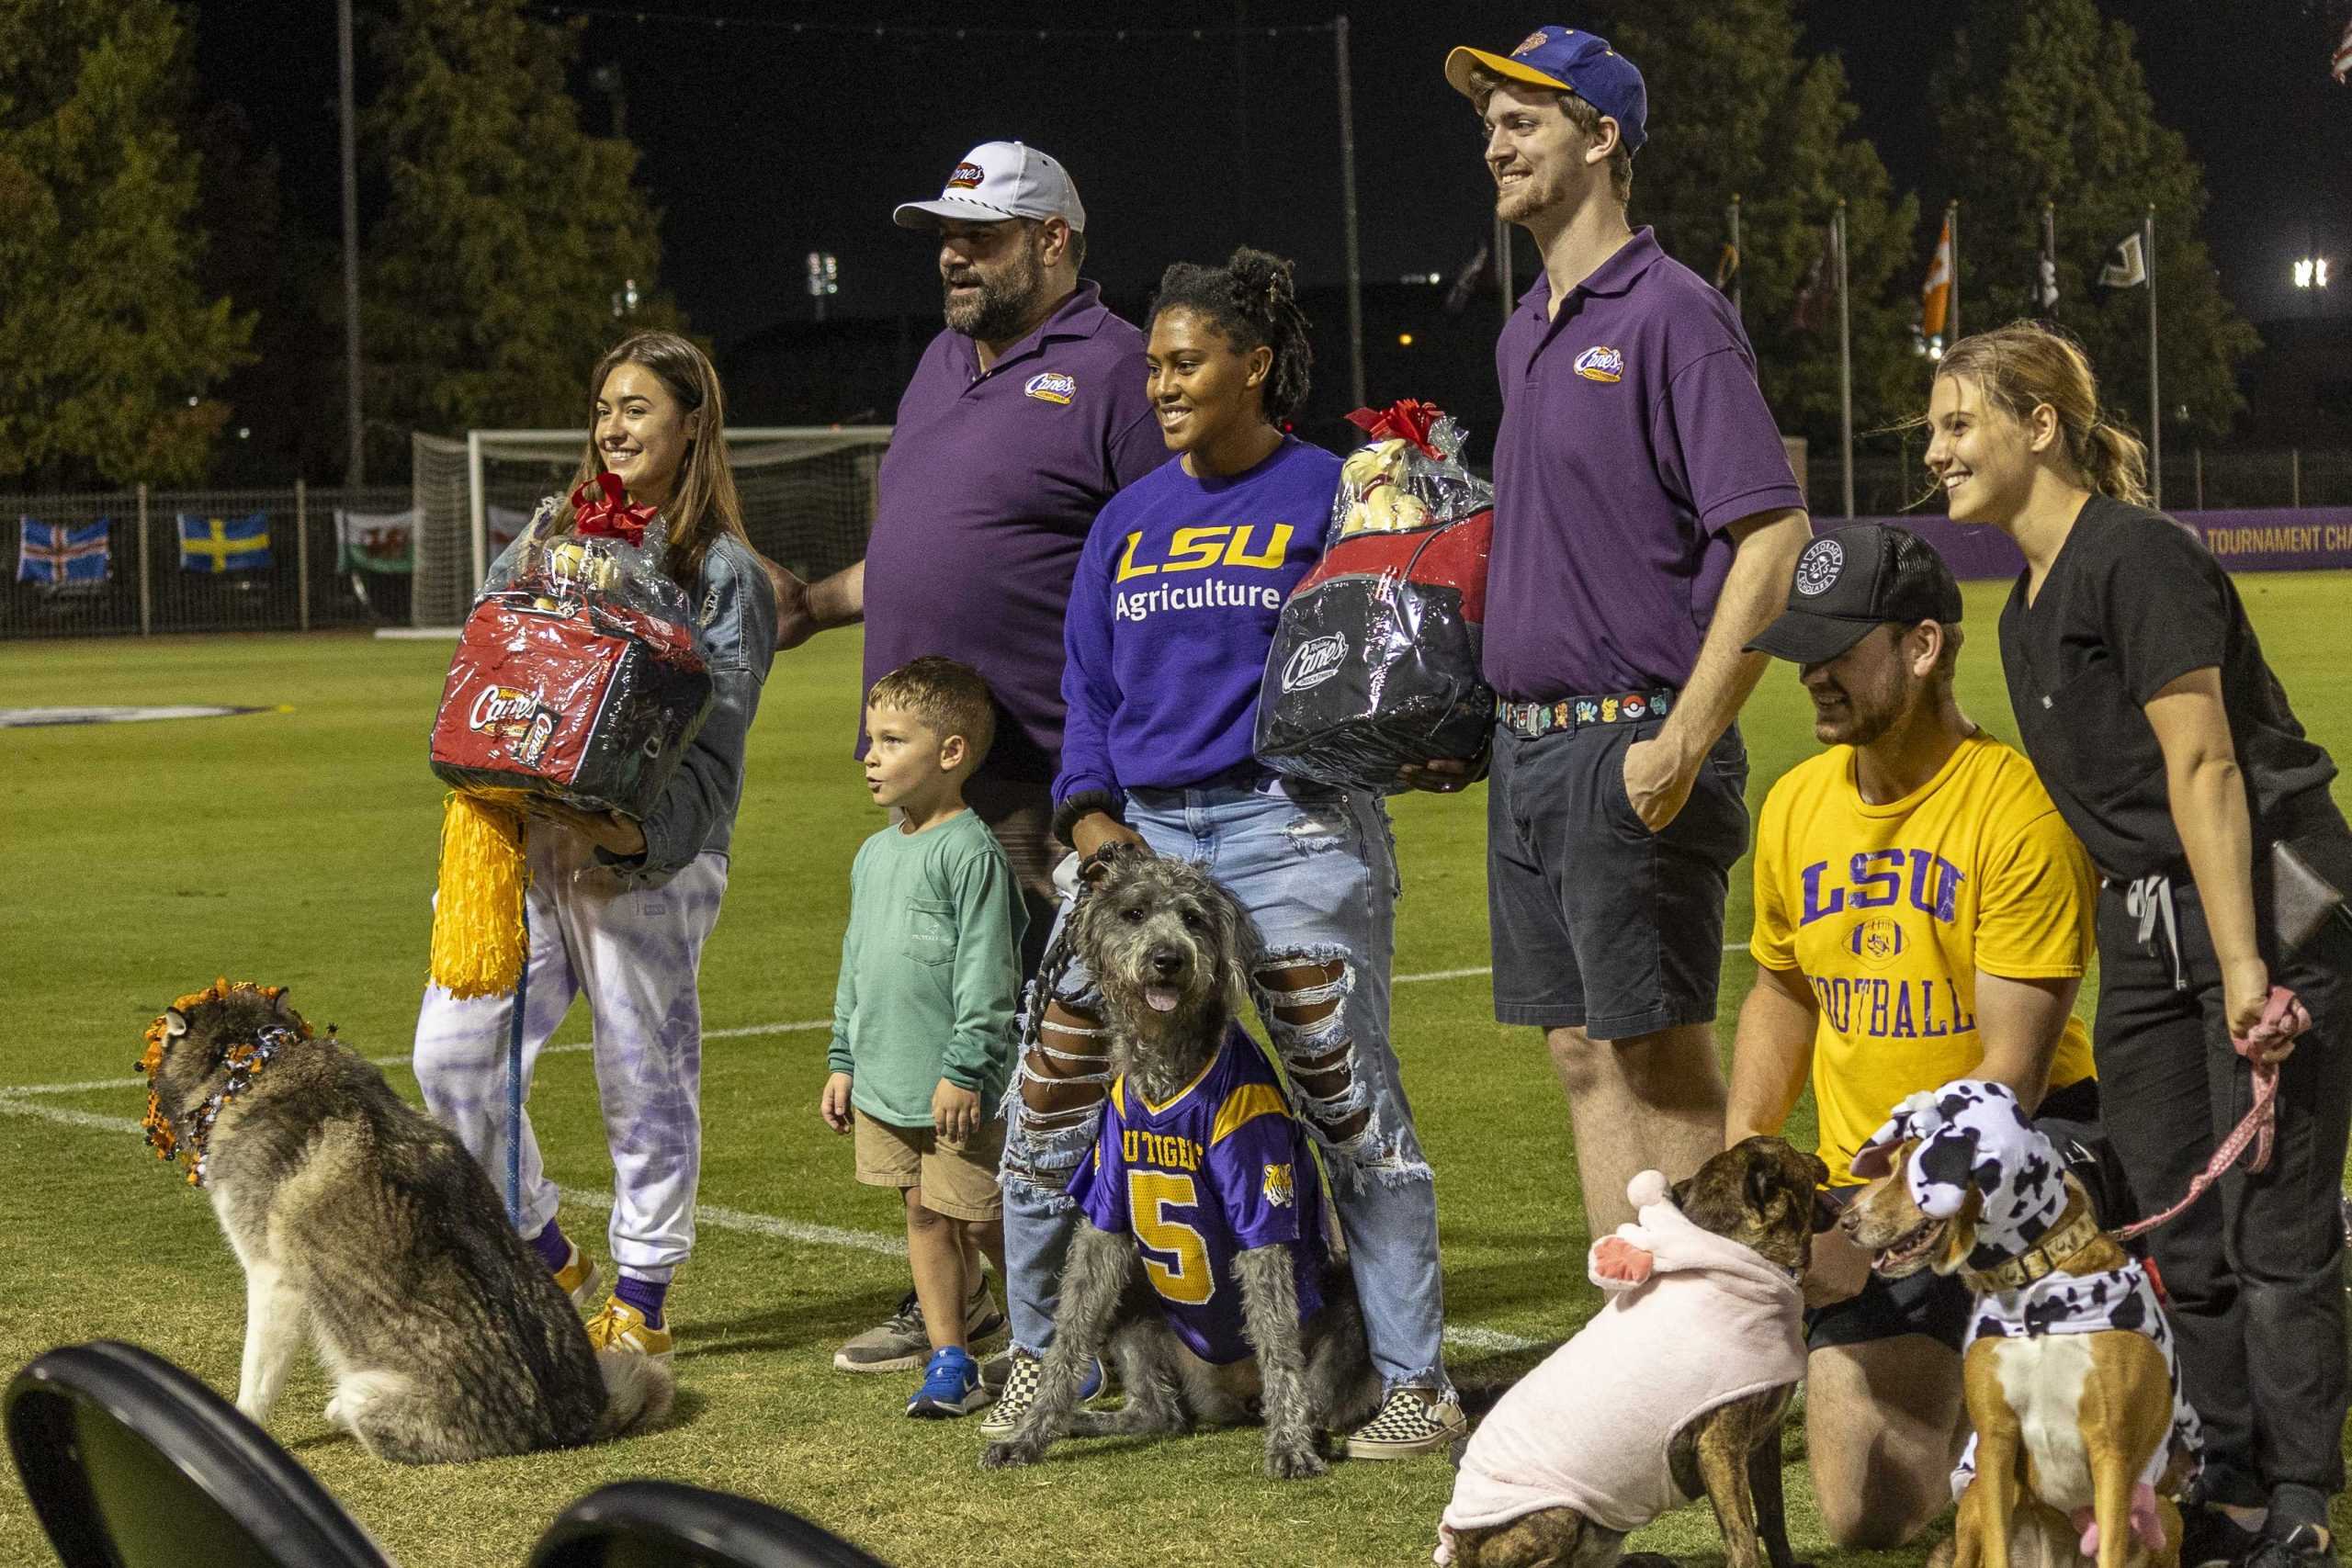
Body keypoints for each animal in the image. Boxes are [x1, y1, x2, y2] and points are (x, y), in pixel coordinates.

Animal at [139, 987, 673, 1466]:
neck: (250, 1063)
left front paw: (242, 1421)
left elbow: (257, 1376)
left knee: (350, 1405)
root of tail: (573, 1421)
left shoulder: (272, 1277)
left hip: (367, 1394)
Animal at [973, 851, 1374, 1476]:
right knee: (1157, 1413)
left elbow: (1278, 1340)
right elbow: (1068, 1339)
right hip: (1137, 1306)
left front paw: (1289, 1446)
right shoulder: (1105, 1215)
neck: (1169, 1065)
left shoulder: (1259, 1202)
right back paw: (1085, 1421)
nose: (1169, 960)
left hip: (1344, 1305)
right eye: (1134, 913)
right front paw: (1031, 1432)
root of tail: (1233, 1397)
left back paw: (1305, 1428)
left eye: (1192, 918)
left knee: (1312, 1390)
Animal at [1439, 1142, 1825, 1568]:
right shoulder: (1719, 1448)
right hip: (1559, 1514)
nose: (1818, 1155)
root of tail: (1459, 1545)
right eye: (1792, 1150)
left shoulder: (1763, 1440)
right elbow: (1742, 1539)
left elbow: (1773, 1518)